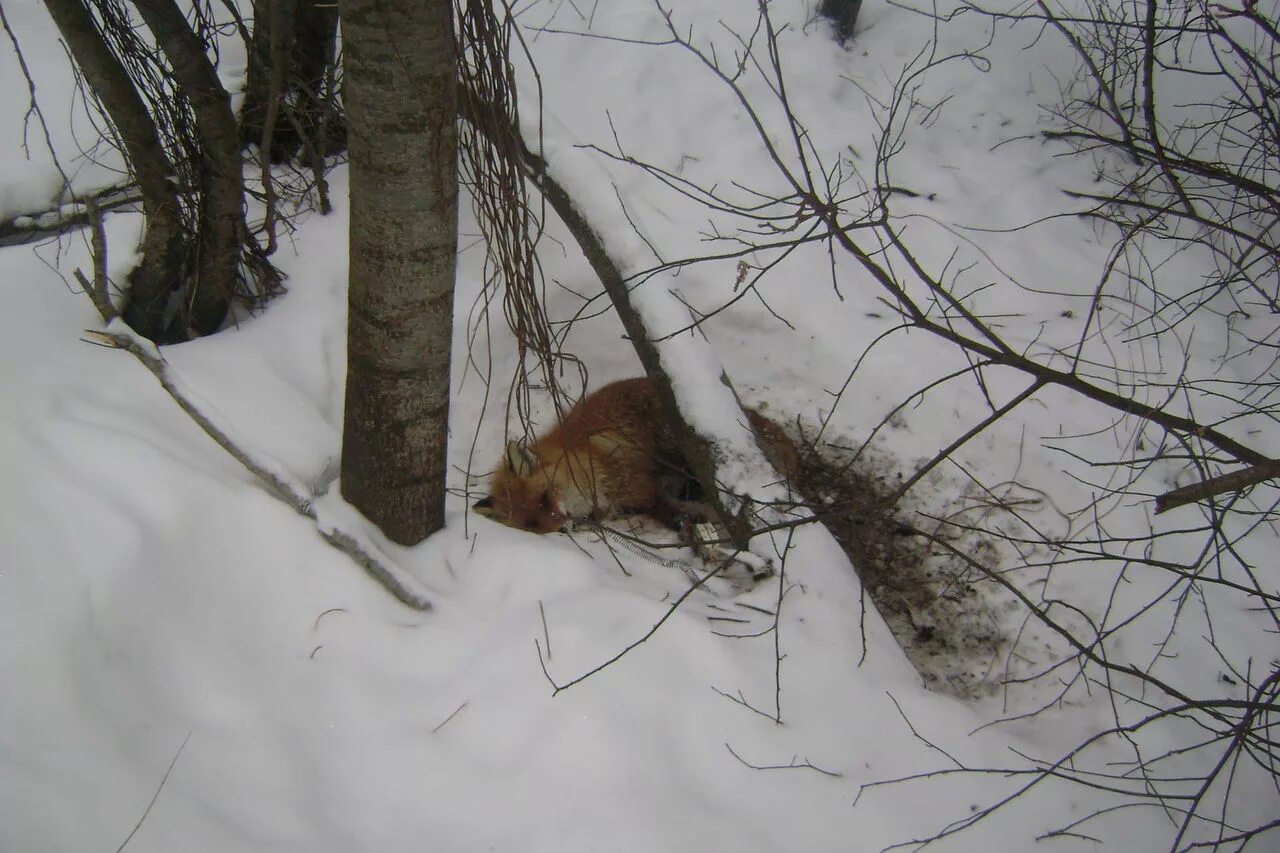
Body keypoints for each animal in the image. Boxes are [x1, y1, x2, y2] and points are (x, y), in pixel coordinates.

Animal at [471, 373, 793, 527]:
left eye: (544, 499)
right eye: (533, 524)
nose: (561, 527)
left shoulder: (637, 480)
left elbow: (659, 503)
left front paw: (683, 518)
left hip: (675, 446)